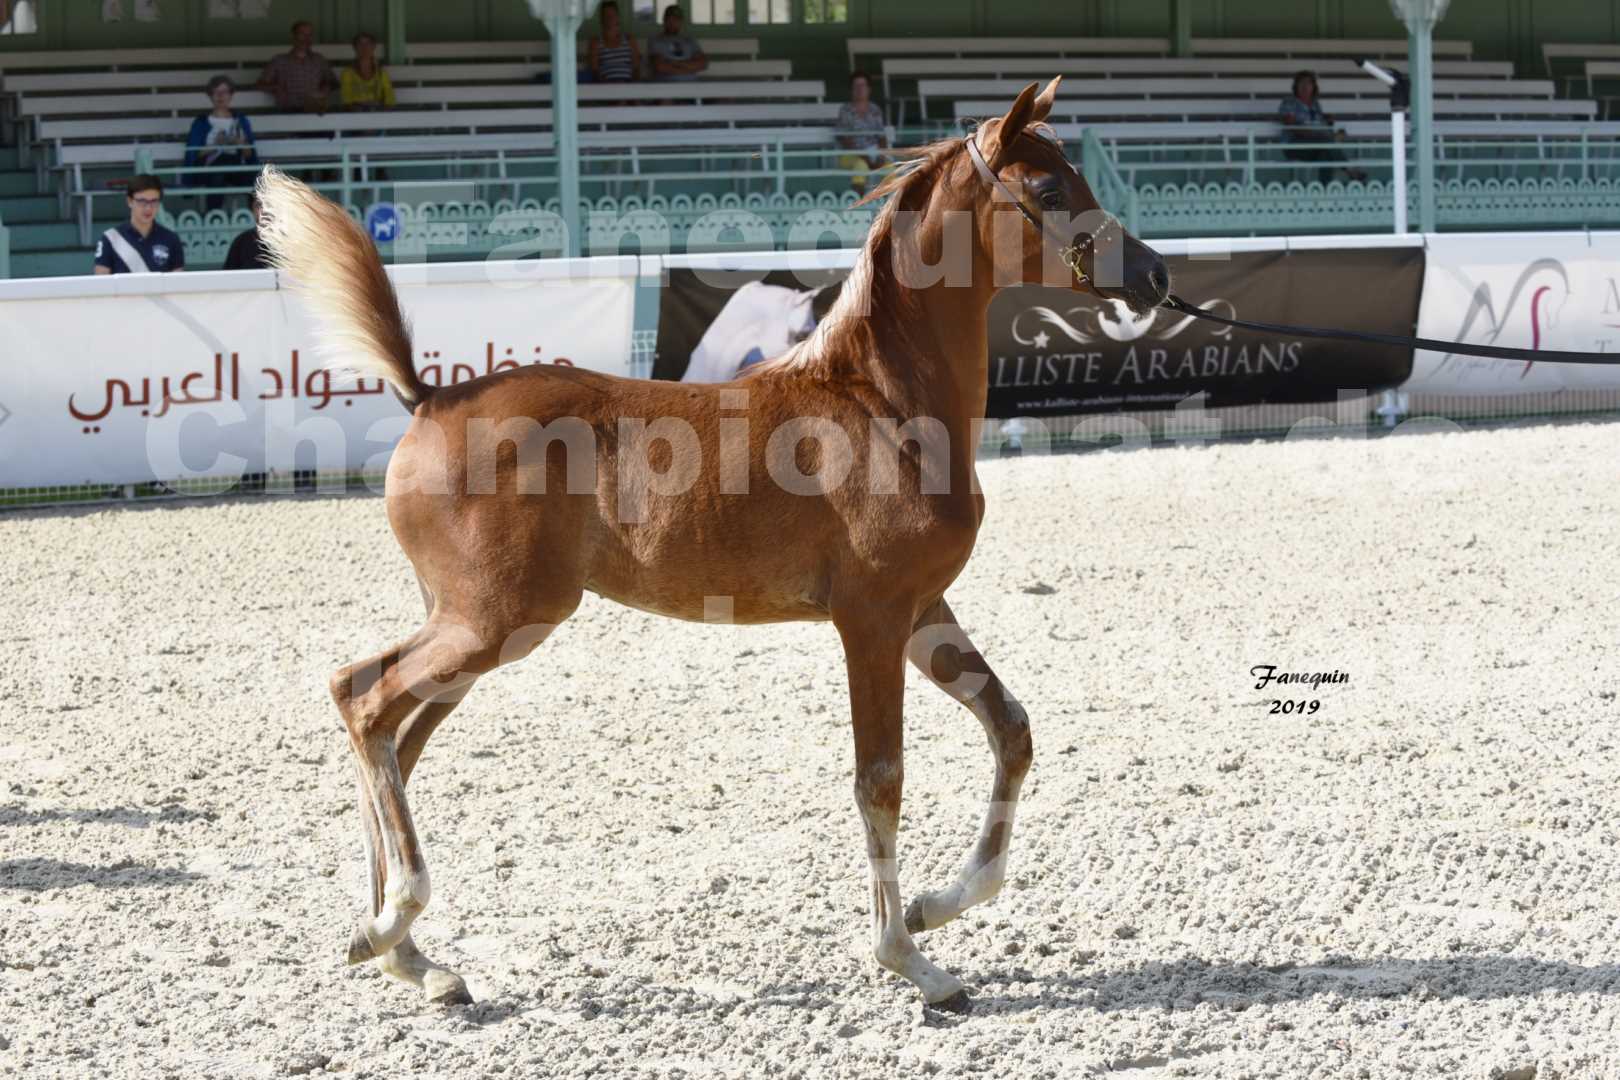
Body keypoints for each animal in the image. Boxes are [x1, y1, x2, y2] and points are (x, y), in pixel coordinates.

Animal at [262, 78, 1179, 1016]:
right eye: (1049, 190)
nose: (1154, 274)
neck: (880, 402)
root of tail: (430, 398)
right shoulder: (872, 620)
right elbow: (880, 779)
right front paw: (910, 959)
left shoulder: (926, 612)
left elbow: (1011, 730)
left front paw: (933, 907)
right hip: (492, 620)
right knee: (365, 701)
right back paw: (389, 925)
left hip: (482, 630)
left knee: (392, 732)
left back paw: (411, 958)